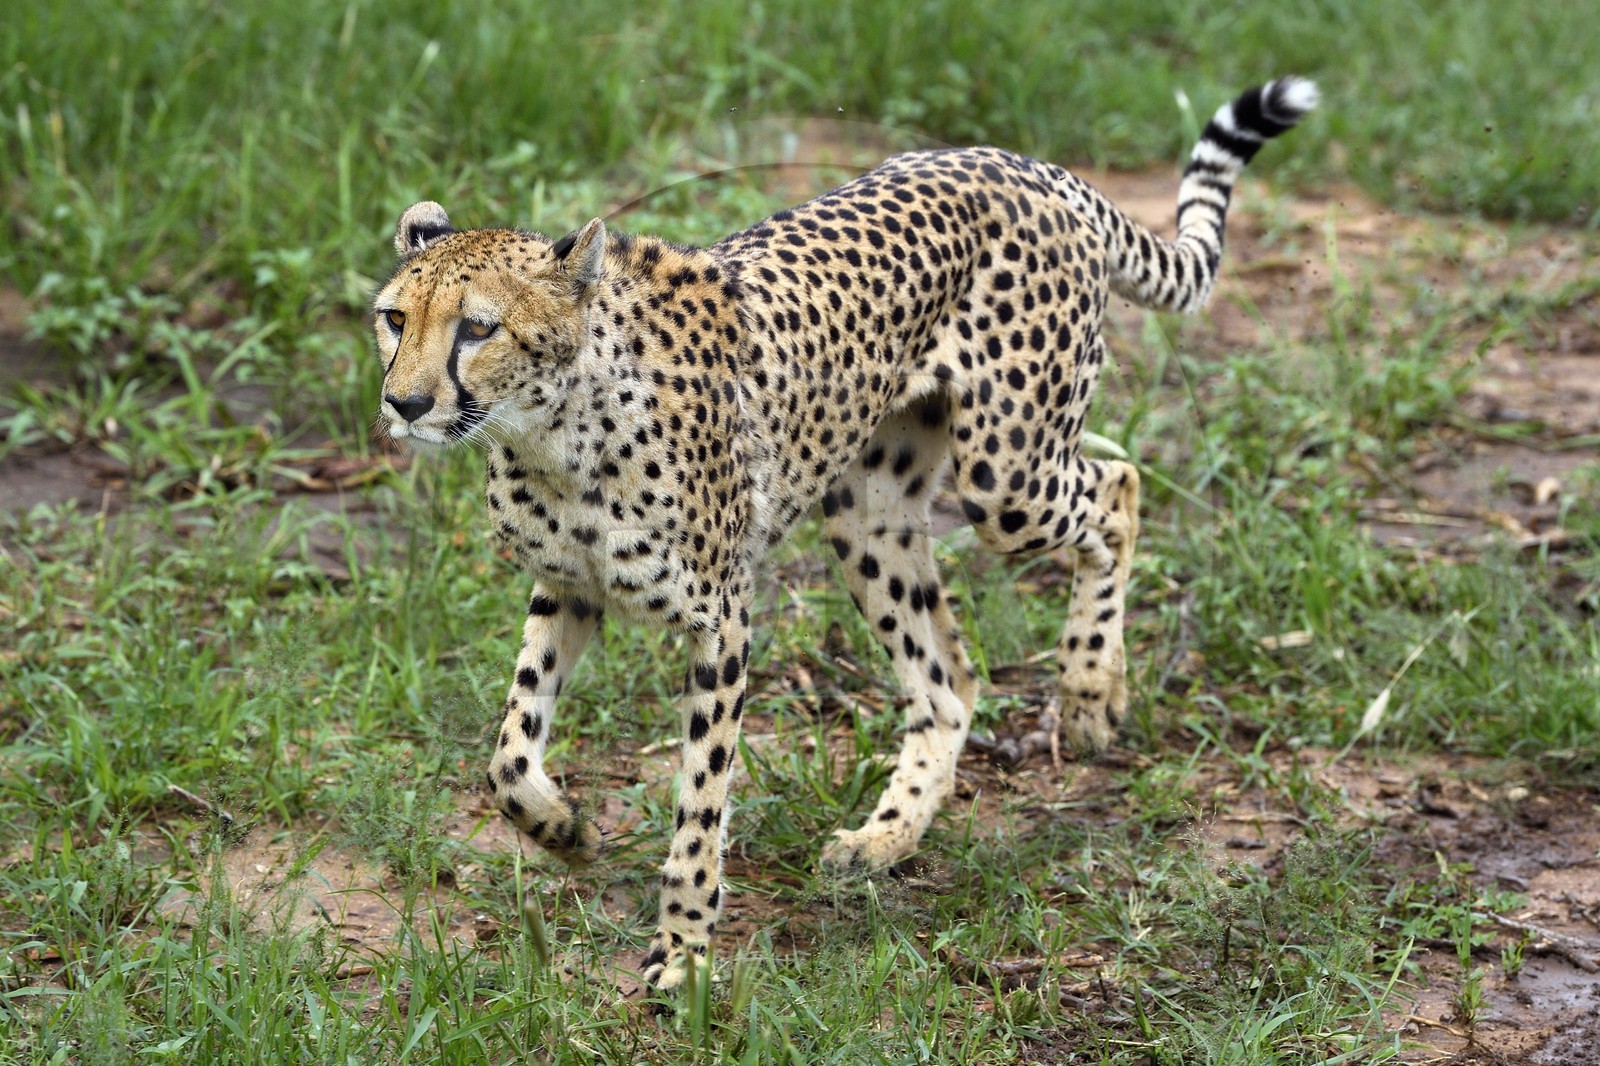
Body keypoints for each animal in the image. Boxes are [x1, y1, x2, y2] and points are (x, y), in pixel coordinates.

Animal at [371, 77, 1318, 990]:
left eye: (479, 327)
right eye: (394, 318)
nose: (405, 403)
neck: (551, 432)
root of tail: (1027, 164)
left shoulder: (723, 618)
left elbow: (700, 803)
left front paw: (684, 952)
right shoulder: (570, 586)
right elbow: (507, 757)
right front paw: (564, 829)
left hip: (1008, 479)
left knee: (1118, 489)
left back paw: (1090, 689)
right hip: (870, 509)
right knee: (949, 683)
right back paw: (885, 837)